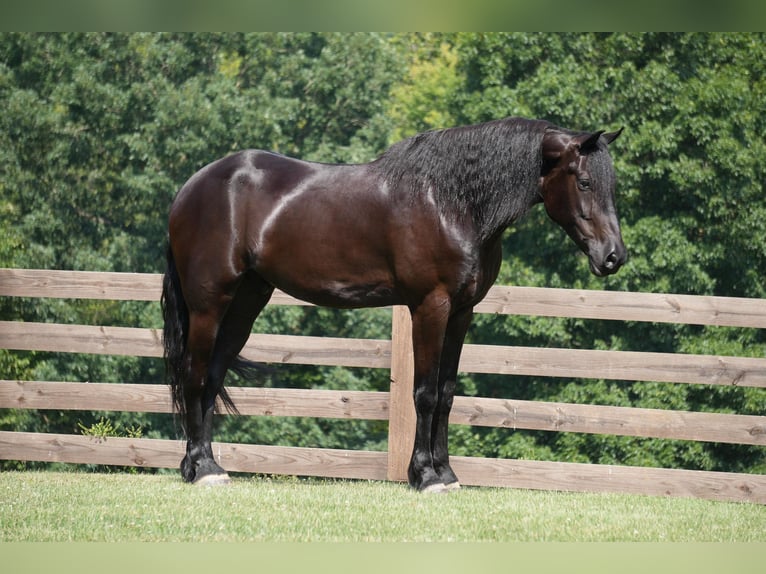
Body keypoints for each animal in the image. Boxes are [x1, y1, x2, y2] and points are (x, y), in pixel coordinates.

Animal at [162, 117, 626, 492]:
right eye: (584, 182)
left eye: (611, 186)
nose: (614, 256)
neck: (450, 203)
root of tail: (191, 187)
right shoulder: (430, 306)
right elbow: (425, 392)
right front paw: (425, 476)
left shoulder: (462, 313)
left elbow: (447, 393)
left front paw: (447, 473)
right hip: (209, 304)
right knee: (194, 375)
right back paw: (201, 469)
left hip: (246, 303)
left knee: (213, 376)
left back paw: (207, 466)